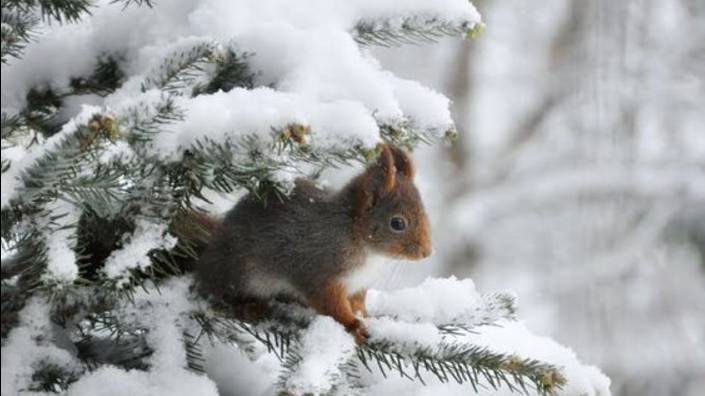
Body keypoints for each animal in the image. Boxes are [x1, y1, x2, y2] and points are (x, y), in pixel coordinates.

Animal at [195, 144, 432, 342]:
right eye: (397, 223)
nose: (427, 253)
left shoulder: (358, 283)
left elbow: (357, 302)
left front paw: (365, 317)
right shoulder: (320, 273)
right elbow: (331, 305)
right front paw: (353, 325)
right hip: (239, 272)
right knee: (216, 291)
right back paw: (247, 306)